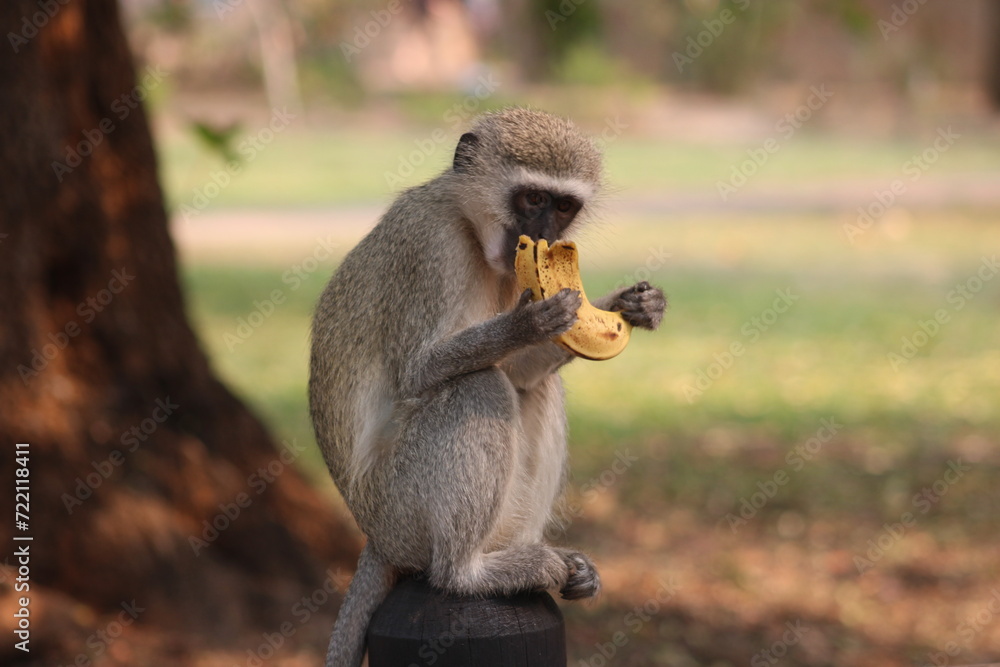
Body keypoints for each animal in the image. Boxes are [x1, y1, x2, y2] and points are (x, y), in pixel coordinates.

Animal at [309, 107, 666, 666]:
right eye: (533, 199)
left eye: (564, 206)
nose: (543, 235)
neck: (469, 227)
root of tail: (376, 536)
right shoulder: (428, 245)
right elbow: (418, 372)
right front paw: (527, 323)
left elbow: (521, 374)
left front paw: (633, 306)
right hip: (401, 508)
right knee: (479, 386)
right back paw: (470, 573)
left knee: (534, 390)